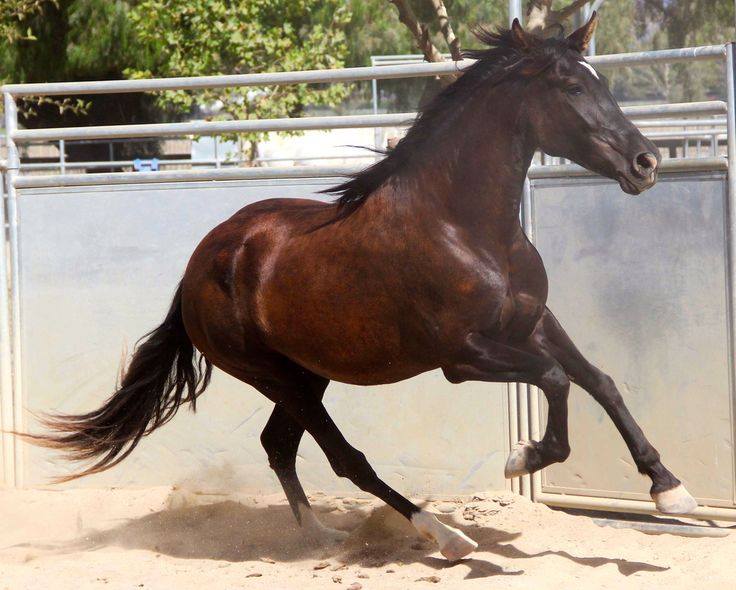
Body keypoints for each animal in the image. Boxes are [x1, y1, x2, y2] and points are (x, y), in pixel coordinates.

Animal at [25, 11, 700, 560]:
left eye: (603, 81)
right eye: (571, 87)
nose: (647, 163)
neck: (467, 227)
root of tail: (200, 263)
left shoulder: (533, 324)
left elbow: (600, 381)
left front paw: (671, 491)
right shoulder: (463, 356)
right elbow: (557, 380)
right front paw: (523, 457)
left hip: (305, 372)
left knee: (279, 446)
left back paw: (322, 535)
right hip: (274, 375)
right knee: (341, 457)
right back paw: (440, 534)